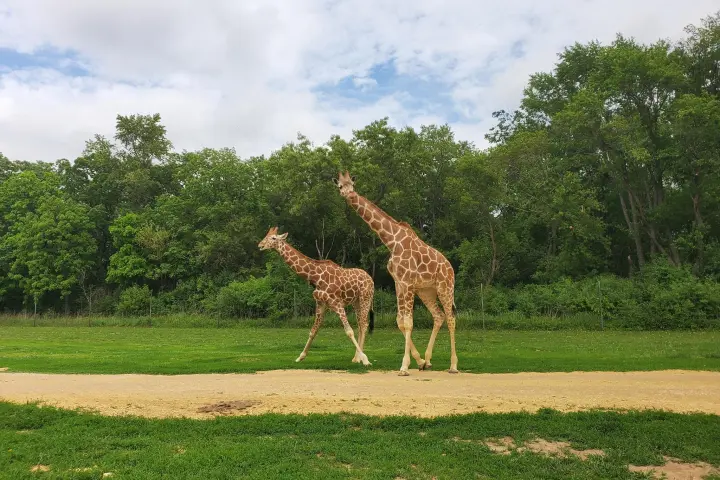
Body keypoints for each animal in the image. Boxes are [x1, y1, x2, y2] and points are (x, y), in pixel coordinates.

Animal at [258, 226, 375, 366]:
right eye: (266, 236)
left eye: (273, 238)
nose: (260, 245)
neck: (315, 277)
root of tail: (371, 280)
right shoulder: (321, 303)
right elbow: (313, 331)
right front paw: (300, 357)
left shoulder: (337, 303)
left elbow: (349, 331)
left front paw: (366, 360)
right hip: (356, 302)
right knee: (361, 325)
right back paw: (356, 358)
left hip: (365, 298)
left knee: (364, 324)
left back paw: (361, 358)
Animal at [333, 172, 458, 376]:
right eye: (340, 186)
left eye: (352, 184)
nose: (349, 194)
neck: (391, 241)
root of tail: (451, 268)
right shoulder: (399, 283)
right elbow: (400, 321)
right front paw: (419, 361)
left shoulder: (407, 283)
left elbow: (408, 322)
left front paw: (404, 367)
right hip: (427, 291)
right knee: (438, 316)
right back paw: (428, 361)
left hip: (445, 287)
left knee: (450, 318)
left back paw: (453, 366)